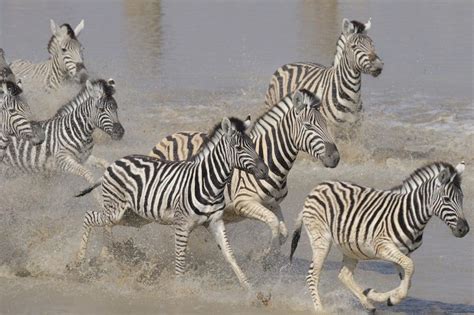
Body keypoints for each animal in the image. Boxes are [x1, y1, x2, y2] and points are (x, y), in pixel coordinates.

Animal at [72, 117, 268, 290]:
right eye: (239, 148)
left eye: (253, 145)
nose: (265, 170)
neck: (210, 183)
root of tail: (114, 164)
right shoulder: (182, 225)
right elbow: (180, 261)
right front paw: (179, 290)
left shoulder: (215, 222)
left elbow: (230, 255)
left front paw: (250, 289)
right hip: (116, 210)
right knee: (89, 217)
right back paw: (80, 262)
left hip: (132, 216)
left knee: (105, 224)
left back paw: (106, 257)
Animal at [150, 90, 338, 258]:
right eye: (308, 126)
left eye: (326, 123)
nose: (335, 157)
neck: (271, 162)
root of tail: (167, 138)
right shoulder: (244, 202)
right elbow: (274, 224)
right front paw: (266, 258)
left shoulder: (273, 204)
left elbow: (283, 232)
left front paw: (267, 254)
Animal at [290, 163, 468, 314]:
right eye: (446, 199)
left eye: (462, 197)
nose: (464, 229)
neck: (410, 214)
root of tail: (318, 187)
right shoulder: (383, 247)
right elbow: (410, 268)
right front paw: (392, 298)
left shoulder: (403, 252)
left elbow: (408, 279)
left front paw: (379, 295)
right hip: (321, 239)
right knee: (313, 275)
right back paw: (320, 309)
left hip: (350, 247)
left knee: (344, 275)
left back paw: (367, 302)